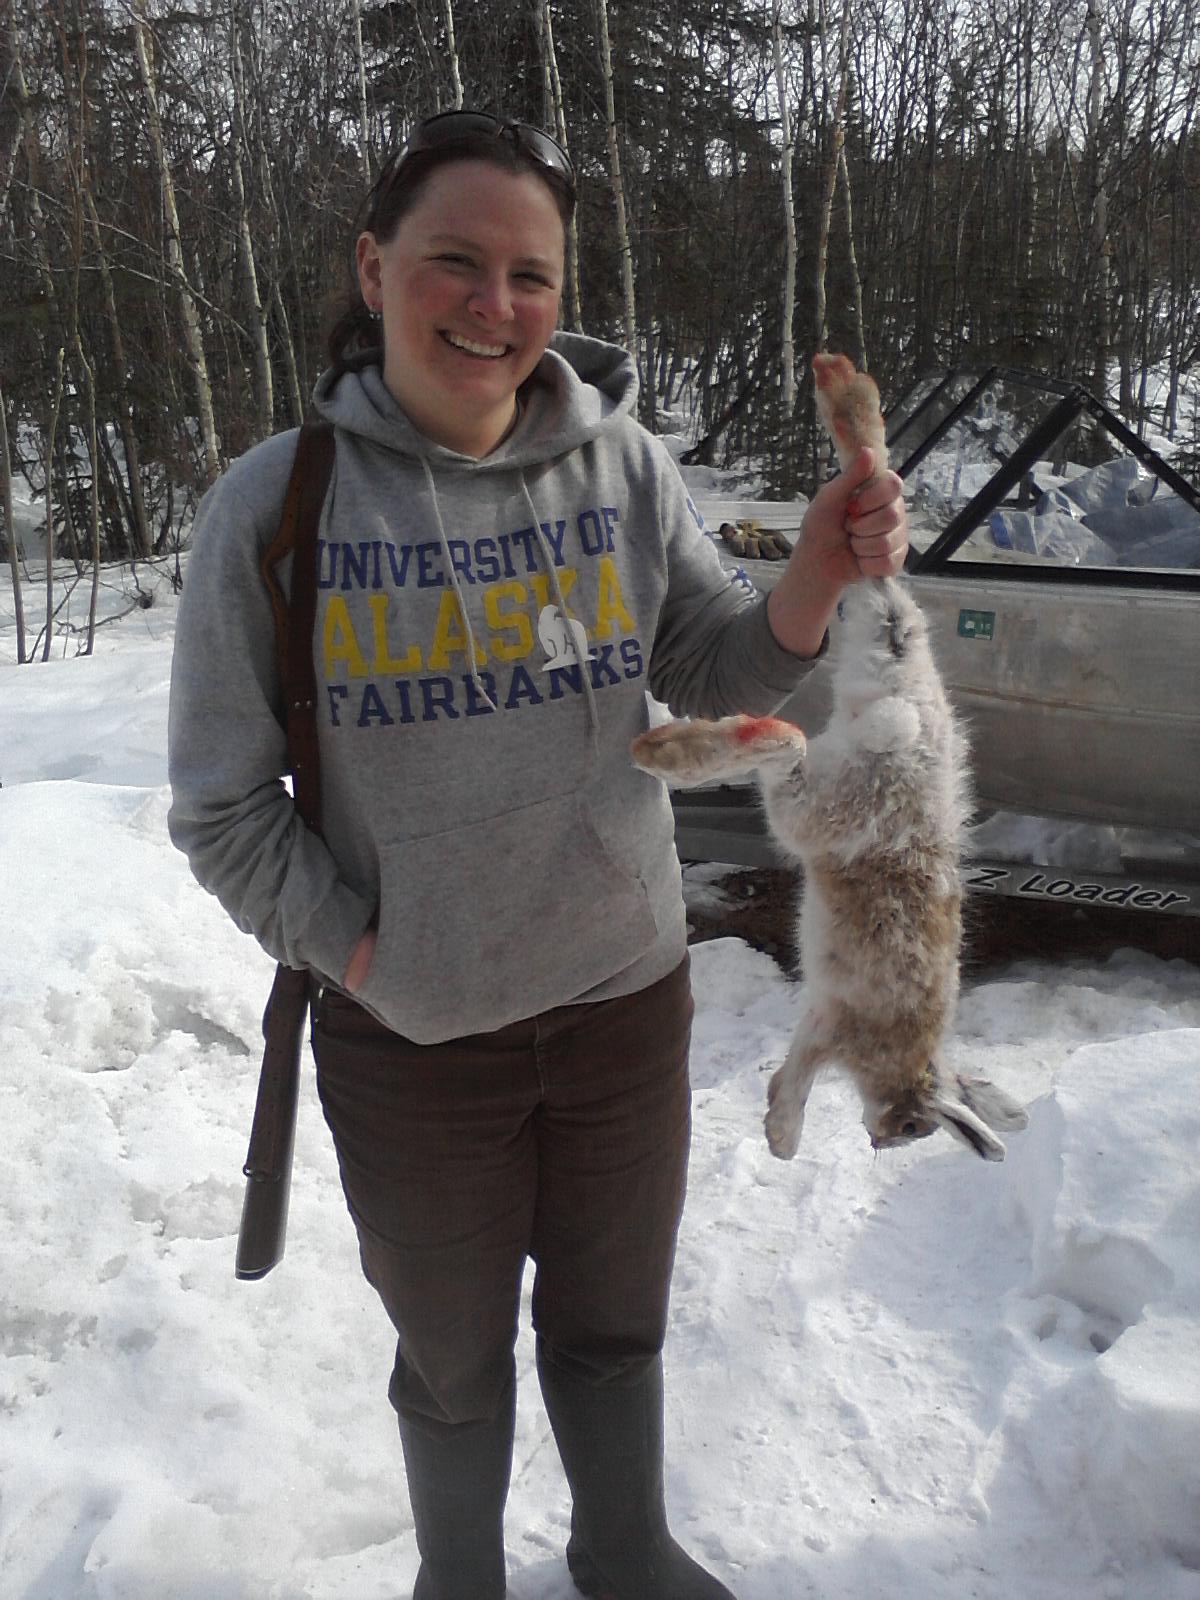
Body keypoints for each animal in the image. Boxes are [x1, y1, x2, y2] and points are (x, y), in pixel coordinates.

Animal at [631, 355, 1028, 1162]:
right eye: (914, 1128)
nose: (886, 1139)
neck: (912, 1060)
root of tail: (911, 703)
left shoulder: (820, 1020)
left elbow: (796, 1068)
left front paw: (776, 1134)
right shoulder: (838, 1027)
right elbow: (804, 1074)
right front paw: (783, 1141)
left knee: (868, 472)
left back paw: (841, 390)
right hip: (833, 801)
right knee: (784, 741)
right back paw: (670, 752)